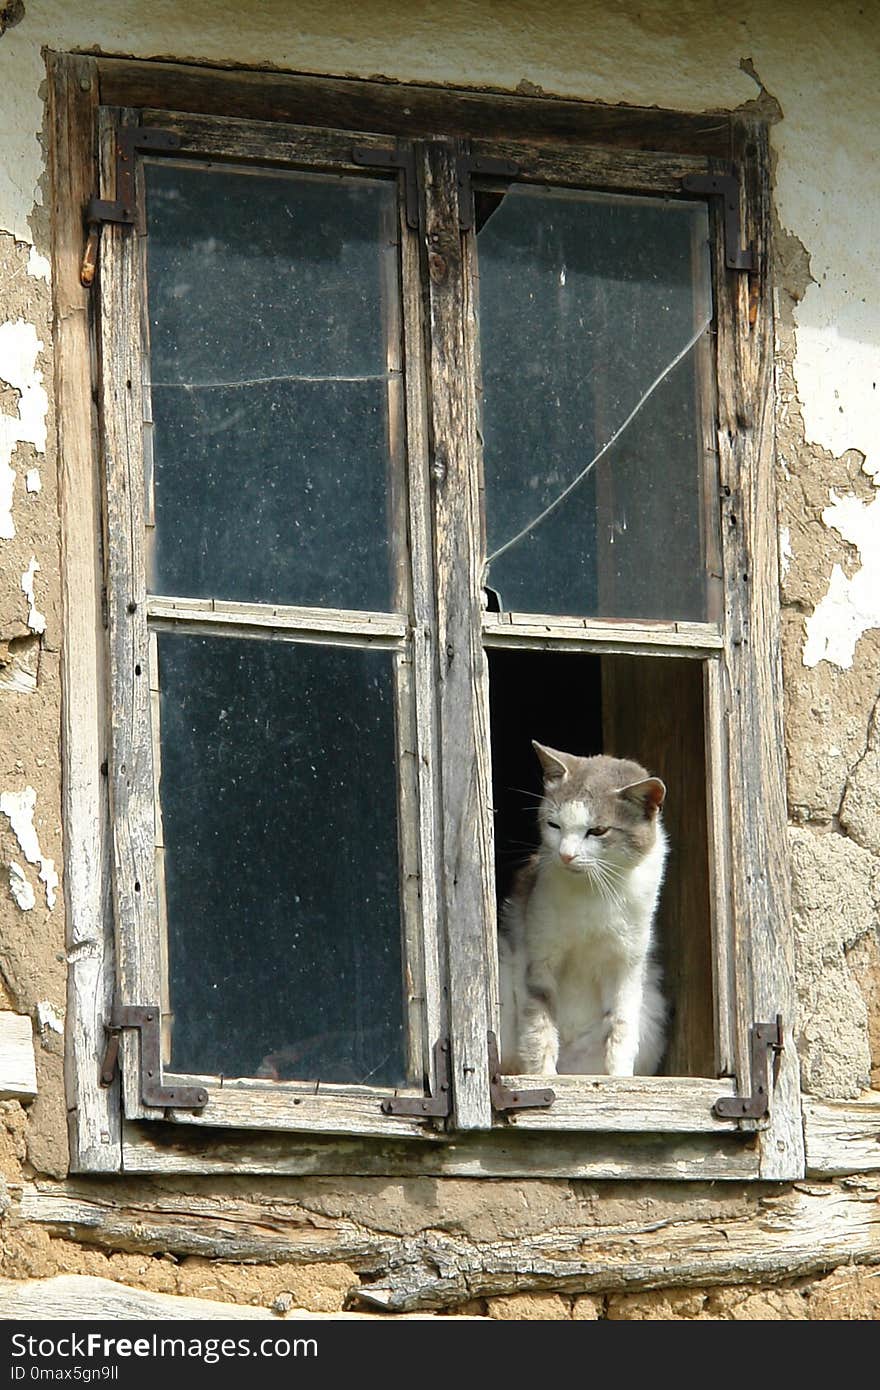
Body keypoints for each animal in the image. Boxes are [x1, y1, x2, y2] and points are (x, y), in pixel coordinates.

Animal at [497, 745, 670, 1078]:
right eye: (554, 825)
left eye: (598, 831)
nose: (566, 855)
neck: (593, 892)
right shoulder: (538, 959)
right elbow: (539, 1025)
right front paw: (544, 1076)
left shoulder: (627, 964)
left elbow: (622, 1025)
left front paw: (619, 1079)